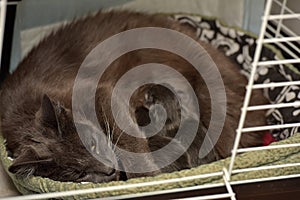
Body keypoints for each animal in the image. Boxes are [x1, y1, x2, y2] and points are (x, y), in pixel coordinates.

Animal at [0, 10, 268, 183]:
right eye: (77, 174)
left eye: (93, 143)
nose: (108, 171)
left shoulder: (101, 91)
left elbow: (128, 140)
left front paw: (146, 178)